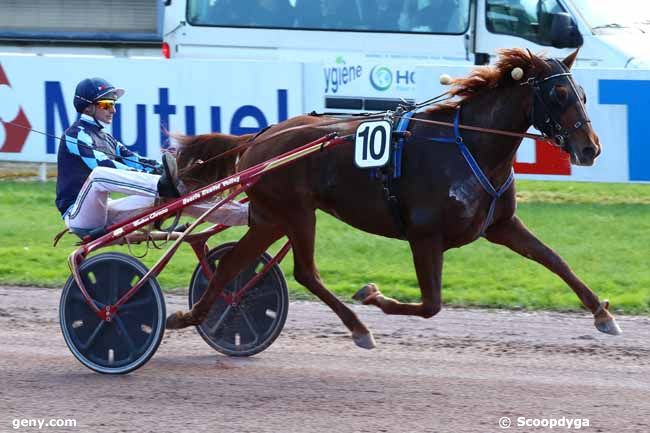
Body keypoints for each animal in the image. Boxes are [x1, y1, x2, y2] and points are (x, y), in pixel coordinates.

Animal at [166, 49, 616, 348]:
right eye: (559, 94)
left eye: (582, 93)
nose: (590, 148)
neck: (471, 146)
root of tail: (260, 137)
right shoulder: (425, 236)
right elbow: (431, 305)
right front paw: (372, 295)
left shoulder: (502, 225)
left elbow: (555, 260)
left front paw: (603, 314)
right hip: (295, 213)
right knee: (304, 272)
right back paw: (358, 327)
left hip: (270, 217)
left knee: (233, 266)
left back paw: (193, 316)